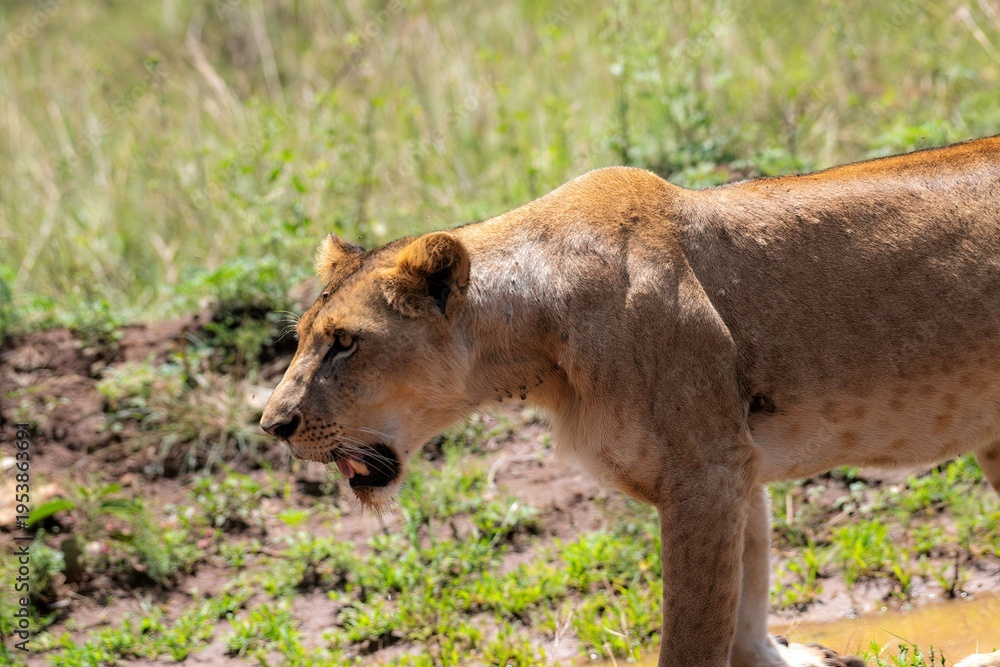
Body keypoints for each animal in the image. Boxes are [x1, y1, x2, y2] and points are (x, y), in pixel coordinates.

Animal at [261, 135, 1000, 667]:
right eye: (302, 338)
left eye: (344, 343)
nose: (272, 424)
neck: (538, 339)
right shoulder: (735, 466)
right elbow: (746, 607)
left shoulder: (706, 470)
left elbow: (693, 637)